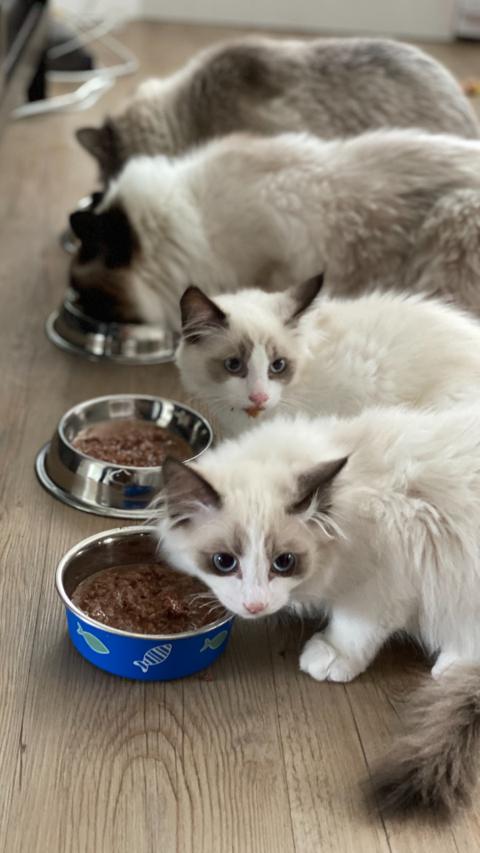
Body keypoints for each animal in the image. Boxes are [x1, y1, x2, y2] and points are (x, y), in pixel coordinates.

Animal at [156, 406, 480, 817]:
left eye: (284, 562)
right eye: (223, 562)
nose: (255, 605)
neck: (346, 513)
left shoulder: (387, 580)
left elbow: (355, 627)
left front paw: (330, 656)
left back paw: (449, 666)